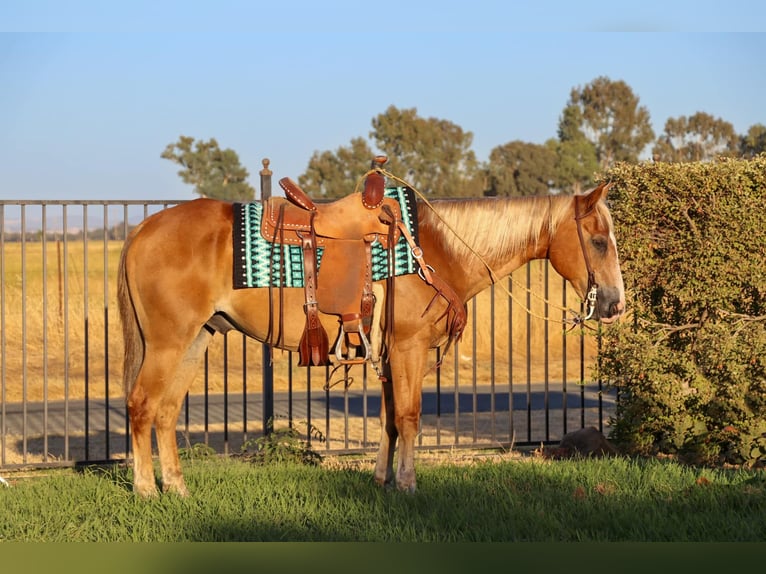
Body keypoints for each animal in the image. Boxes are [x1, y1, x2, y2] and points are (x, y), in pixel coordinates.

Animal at [118, 181, 625, 497]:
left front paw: (382, 480)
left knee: (165, 412)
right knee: (142, 405)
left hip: (197, 339)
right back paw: (145, 489)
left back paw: (177, 487)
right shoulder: (408, 349)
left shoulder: (388, 353)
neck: (436, 251)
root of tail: (141, 229)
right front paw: (408, 484)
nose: (615, 304)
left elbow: (389, 421)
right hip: (168, 343)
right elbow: (410, 417)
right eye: (599, 241)